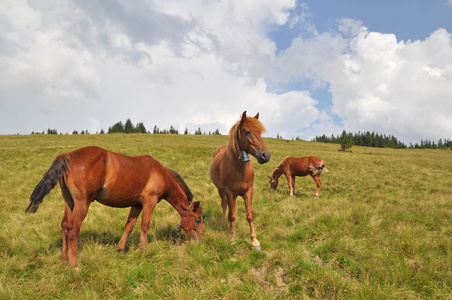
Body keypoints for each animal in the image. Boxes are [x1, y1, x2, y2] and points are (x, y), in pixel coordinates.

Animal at [26, 146, 205, 266]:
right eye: (197, 219)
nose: (200, 240)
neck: (160, 173)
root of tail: (67, 156)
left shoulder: (136, 205)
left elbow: (129, 226)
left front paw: (120, 248)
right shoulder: (149, 201)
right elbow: (145, 225)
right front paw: (143, 248)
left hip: (69, 202)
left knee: (64, 226)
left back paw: (64, 260)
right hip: (82, 203)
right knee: (73, 228)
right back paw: (74, 263)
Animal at [210, 111, 270, 250]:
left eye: (260, 132)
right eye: (247, 132)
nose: (266, 155)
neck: (239, 168)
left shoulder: (248, 191)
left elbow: (249, 215)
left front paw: (254, 241)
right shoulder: (229, 192)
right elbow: (231, 216)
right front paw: (232, 239)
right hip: (221, 190)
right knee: (224, 205)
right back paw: (224, 224)